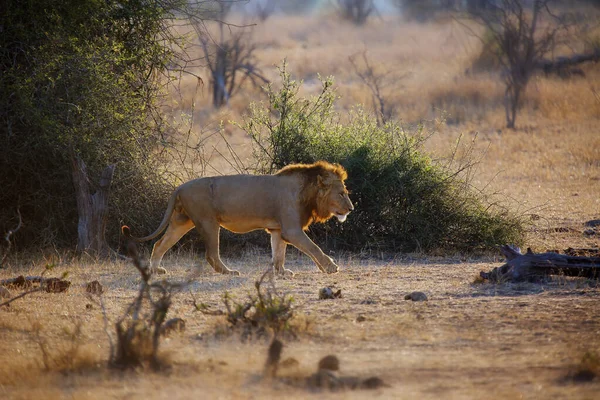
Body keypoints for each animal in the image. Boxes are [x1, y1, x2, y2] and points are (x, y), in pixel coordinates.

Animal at [123, 161, 354, 276]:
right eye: (342, 193)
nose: (351, 209)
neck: (308, 193)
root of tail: (179, 187)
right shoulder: (292, 229)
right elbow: (313, 248)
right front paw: (331, 267)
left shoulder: (279, 230)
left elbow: (278, 253)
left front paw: (282, 272)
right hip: (208, 222)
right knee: (211, 254)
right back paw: (229, 272)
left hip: (181, 221)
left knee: (160, 243)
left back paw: (155, 270)